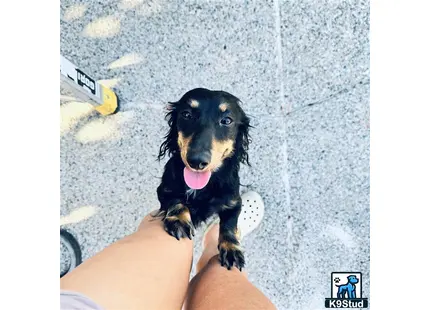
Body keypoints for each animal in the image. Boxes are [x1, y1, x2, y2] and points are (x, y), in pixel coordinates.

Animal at [155, 88, 250, 272]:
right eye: (186, 114)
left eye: (227, 120)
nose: (197, 161)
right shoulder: (164, 189)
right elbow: (175, 200)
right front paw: (178, 219)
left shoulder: (234, 202)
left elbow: (229, 225)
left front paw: (231, 249)